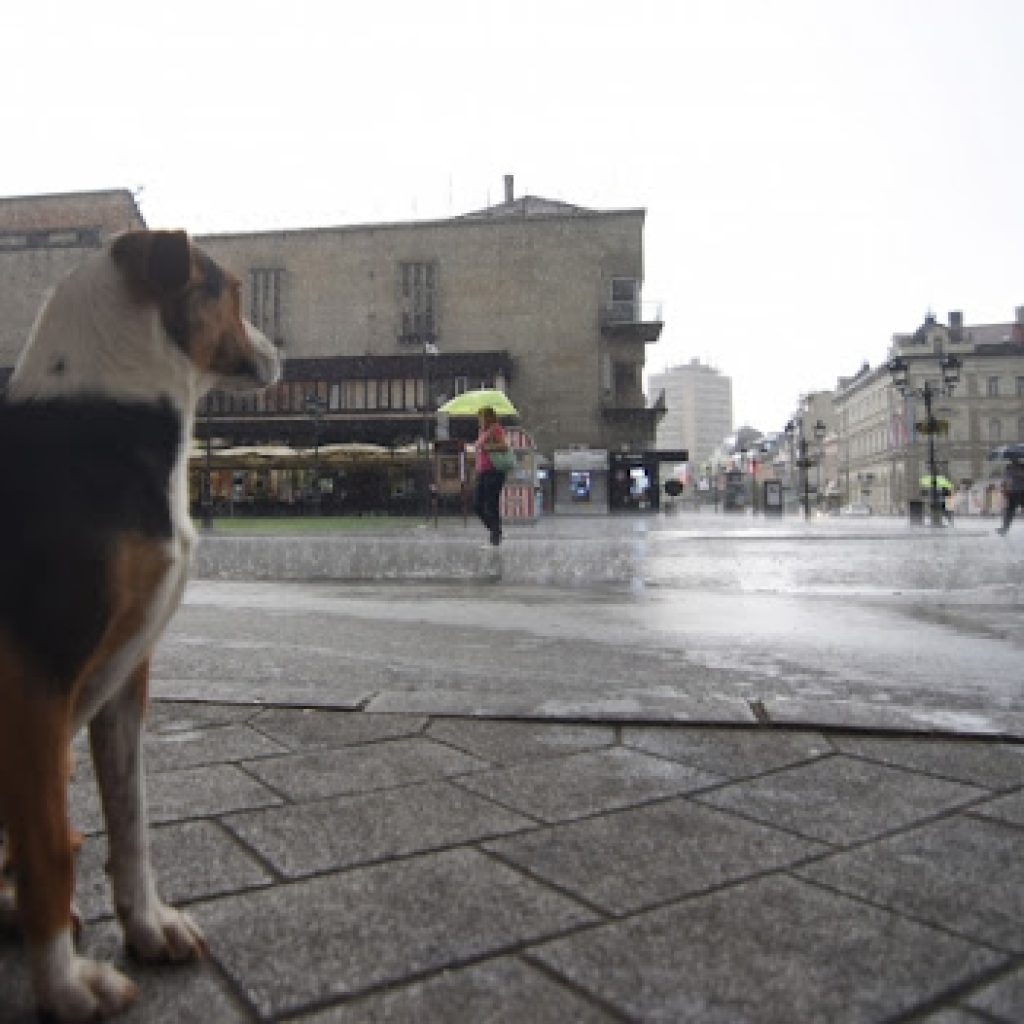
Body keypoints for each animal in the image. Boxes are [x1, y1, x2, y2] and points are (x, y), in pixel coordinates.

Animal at [0, 228, 280, 1019]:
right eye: (234, 291)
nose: (278, 354)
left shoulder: (127, 677)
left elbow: (130, 821)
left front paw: (148, 928)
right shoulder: (35, 681)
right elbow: (47, 850)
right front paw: (65, 987)